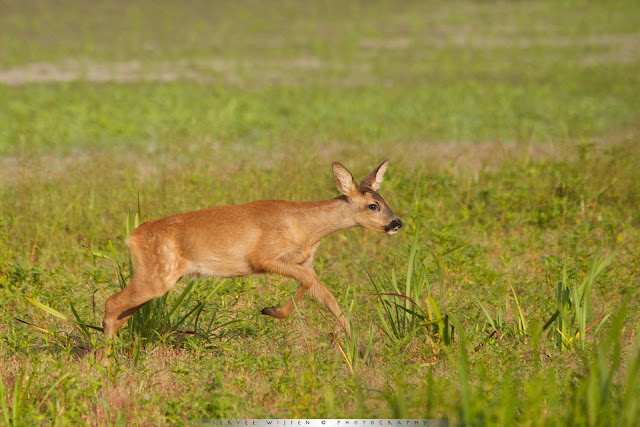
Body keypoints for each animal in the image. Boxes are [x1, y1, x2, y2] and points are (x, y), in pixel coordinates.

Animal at [100, 159, 400, 356]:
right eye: (373, 206)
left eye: (384, 201)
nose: (396, 223)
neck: (307, 228)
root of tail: (133, 235)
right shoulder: (264, 257)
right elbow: (306, 284)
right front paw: (271, 311)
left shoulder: (306, 262)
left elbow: (331, 300)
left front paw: (359, 348)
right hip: (158, 276)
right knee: (111, 303)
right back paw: (104, 362)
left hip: (154, 276)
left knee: (121, 311)